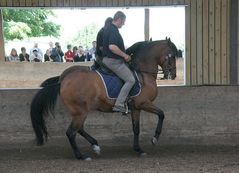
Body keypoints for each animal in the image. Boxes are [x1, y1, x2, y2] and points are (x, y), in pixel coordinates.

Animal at [30, 38, 177, 161]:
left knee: (79, 129)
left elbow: (136, 128)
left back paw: (95, 145)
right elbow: (162, 114)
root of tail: (63, 81)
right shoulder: (144, 103)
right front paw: (154, 138)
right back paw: (81, 156)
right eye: (173, 55)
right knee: (71, 132)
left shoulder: (136, 107)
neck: (143, 74)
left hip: (79, 112)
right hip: (80, 112)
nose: (173, 75)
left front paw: (138, 149)